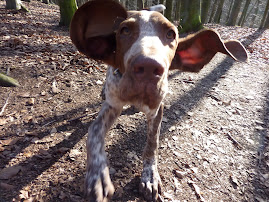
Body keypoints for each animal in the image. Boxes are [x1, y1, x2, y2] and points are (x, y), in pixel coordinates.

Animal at [69, 0, 247, 201]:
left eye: (171, 34)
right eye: (125, 30)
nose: (148, 67)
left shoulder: (156, 110)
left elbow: (152, 143)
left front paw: (150, 176)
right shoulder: (113, 105)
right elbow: (94, 131)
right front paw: (97, 175)